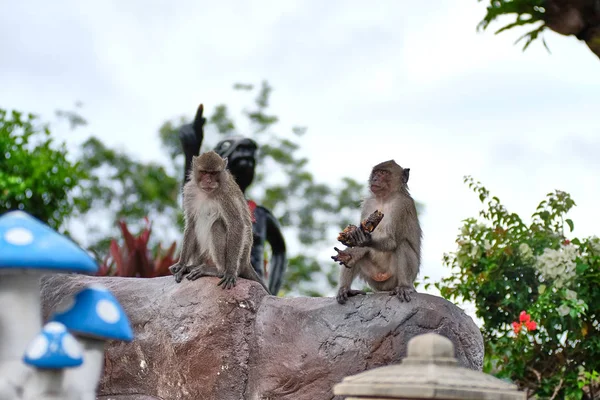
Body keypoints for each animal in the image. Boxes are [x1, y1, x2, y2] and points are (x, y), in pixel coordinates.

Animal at [170, 150, 270, 294]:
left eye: (213, 173)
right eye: (204, 172)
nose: (208, 180)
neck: (207, 193)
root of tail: (246, 262)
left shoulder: (225, 195)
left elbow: (236, 224)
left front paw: (229, 272)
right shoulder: (189, 191)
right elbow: (191, 224)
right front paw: (182, 264)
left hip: (239, 259)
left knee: (217, 225)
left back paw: (219, 270)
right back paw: (192, 266)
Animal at [332, 159, 422, 304]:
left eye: (383, 173)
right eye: (376, 172)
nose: (375, 178)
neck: (384, 199)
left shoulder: (402, 205)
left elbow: (392, 241)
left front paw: (365, 238)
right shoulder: (368, 203)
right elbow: (358, 245)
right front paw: (351, 248)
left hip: (394, 278)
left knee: (402, 244)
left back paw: (404, 287)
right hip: (372, 277)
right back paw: (345, 288)